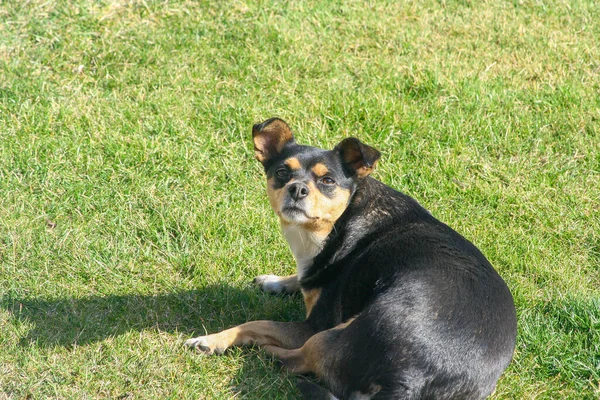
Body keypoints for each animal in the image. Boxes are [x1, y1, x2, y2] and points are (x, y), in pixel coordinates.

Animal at [185, 117, 516, 398]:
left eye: (328, 181)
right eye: (282, 173)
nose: (297, 188)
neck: (337, 223)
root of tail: (408, 380)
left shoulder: (313, 324)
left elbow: (256, 324)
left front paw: (212, 339)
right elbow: (301, 278)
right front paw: (275, 281)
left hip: (328, 335)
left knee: (296, 361)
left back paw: (263, 352)